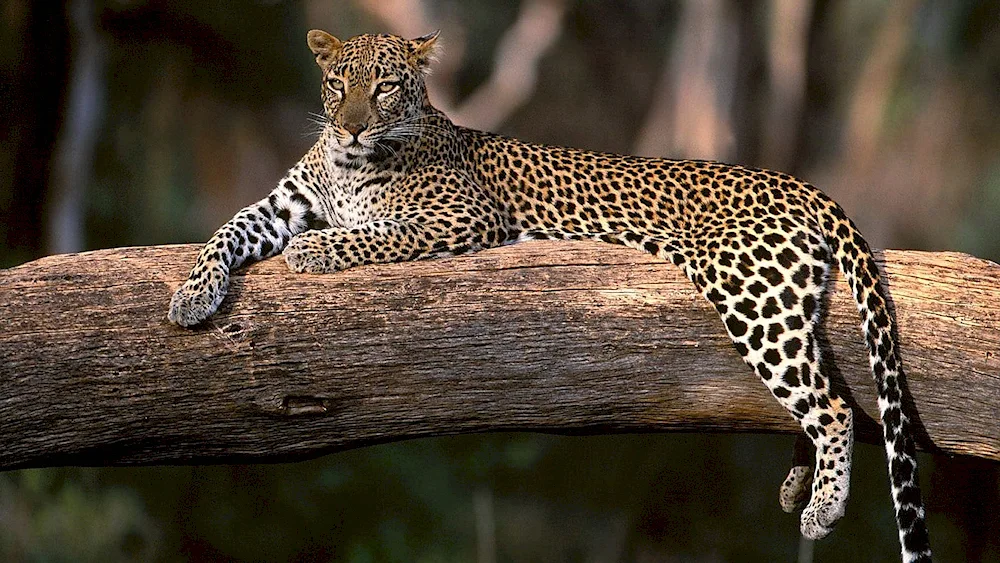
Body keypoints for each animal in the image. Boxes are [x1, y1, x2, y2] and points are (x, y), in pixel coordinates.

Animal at [170, 30, 928, 563]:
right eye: (338, 83)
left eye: (384, 87)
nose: (354, 125)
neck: (349, 161)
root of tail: (799, 182)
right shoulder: (279, 206)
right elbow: (226, 230)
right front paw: (190, 298)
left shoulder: (461, 217)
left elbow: (373, 235)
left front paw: (315, 251)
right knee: (824, 385)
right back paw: (799, 483)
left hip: (750, 291)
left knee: (834, 403)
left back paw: (823, 507)